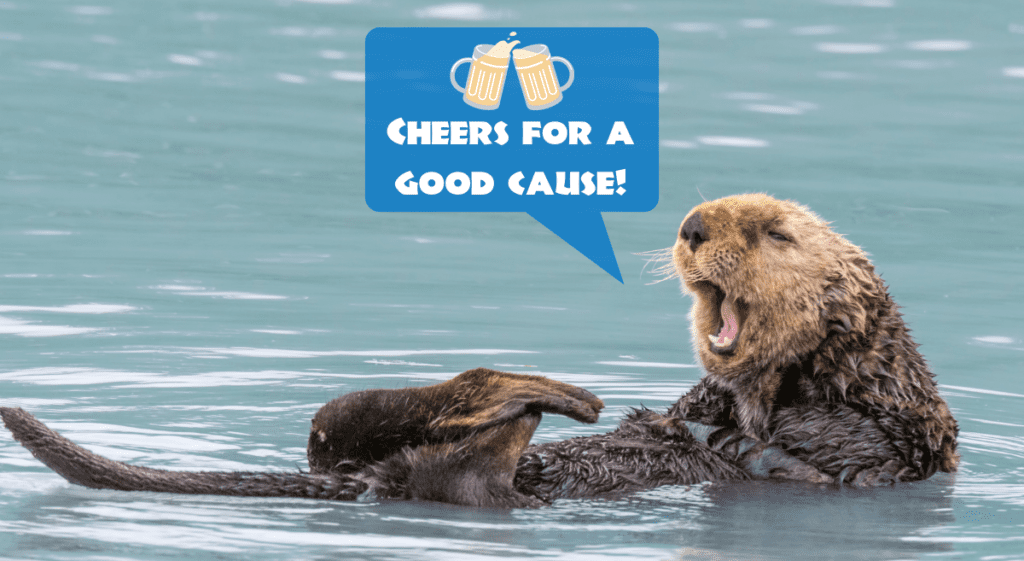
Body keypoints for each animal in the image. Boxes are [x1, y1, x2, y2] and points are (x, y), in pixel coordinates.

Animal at [1, 194, 958, 507]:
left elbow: (832, 442)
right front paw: (693, 419)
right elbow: (699, 407)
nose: (692, 227)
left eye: (776, 232)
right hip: (357, 441)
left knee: (464, 454)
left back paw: (546, 400)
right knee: (354, 419)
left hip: (465, 481)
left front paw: (739, 434)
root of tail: (375, 478)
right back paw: (561, 396)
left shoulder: (895, 431)